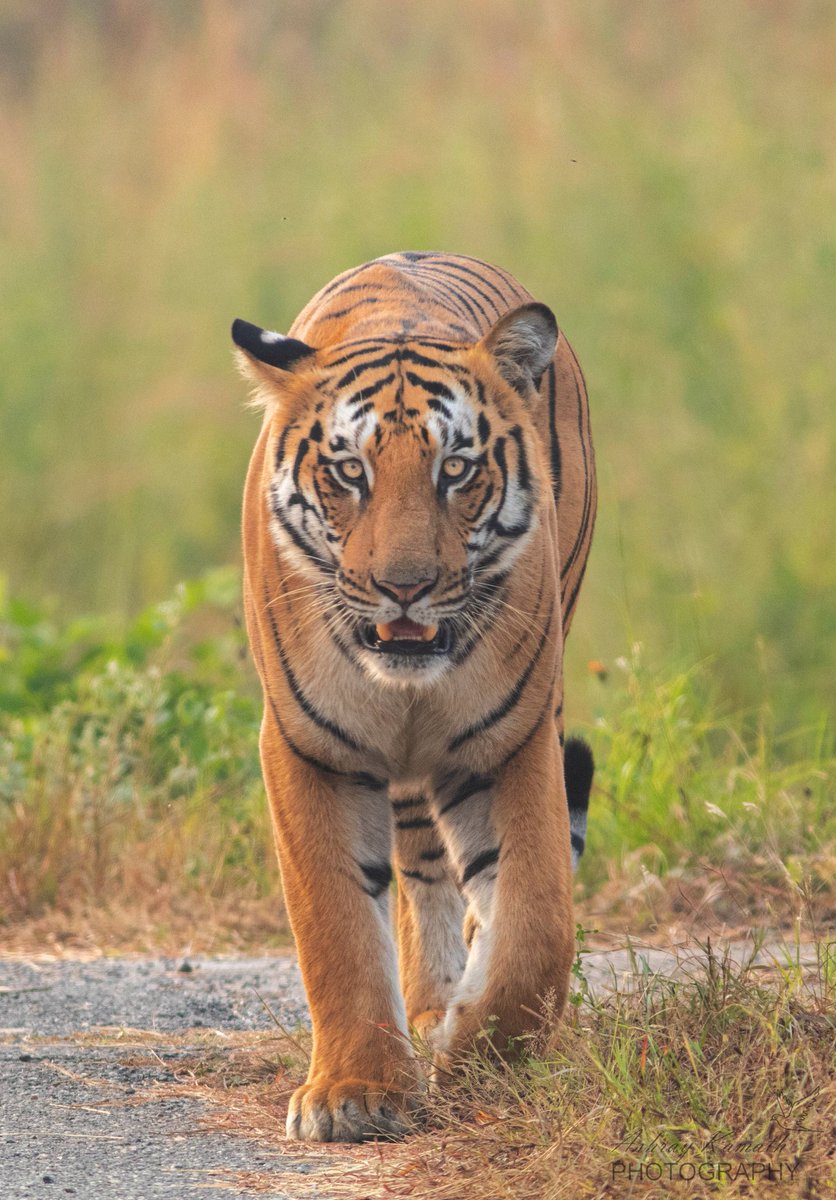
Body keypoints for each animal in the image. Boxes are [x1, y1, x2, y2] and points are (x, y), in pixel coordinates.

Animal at [234, 251, 596, 1143]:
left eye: (455, 469)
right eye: (349, 472)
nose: (405, 588)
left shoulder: (512, 741)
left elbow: (537, 927)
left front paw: (480, 1057)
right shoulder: (311, 747)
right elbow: (334, 925)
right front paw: (355, 1093)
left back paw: (446, 1014)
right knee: (420, 865)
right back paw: (427, 1011)